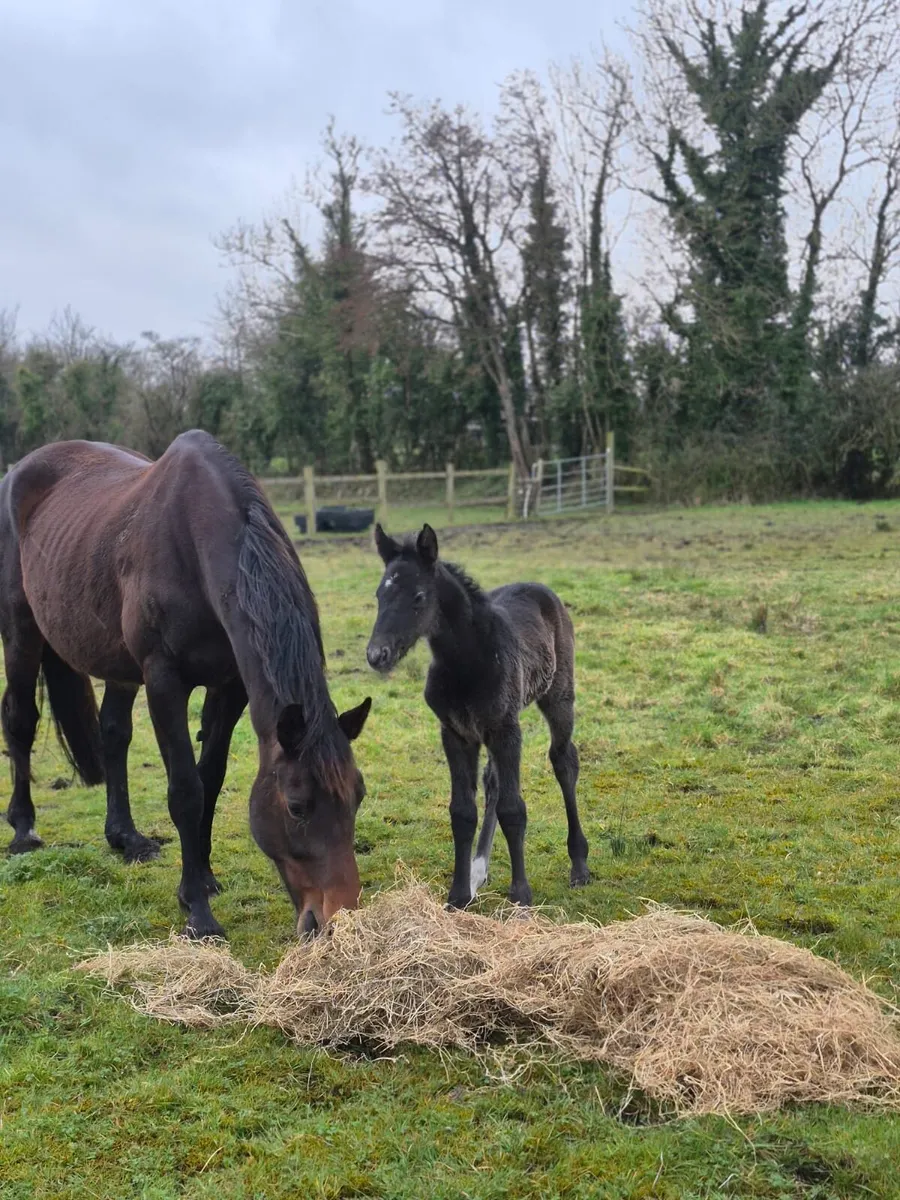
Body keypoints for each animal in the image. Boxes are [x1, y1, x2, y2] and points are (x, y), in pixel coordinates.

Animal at [0, 431, 371, 938]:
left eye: (359, 795)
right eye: (297, 806)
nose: (336, 920)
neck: (196, 545)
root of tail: (20, 470)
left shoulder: (230, 686)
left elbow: (209, 778)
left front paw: (206, 877)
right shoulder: (164, 680)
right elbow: (185, 790)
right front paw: (197, 909)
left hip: (117, 663)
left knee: (113, 733)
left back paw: (126, 838)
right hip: (22, 631)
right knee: (21, 720)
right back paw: (23, 829)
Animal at [365, 523, 589, 910]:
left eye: (419, 596)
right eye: (380, 594)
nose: (377, 655)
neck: (467, 661)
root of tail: (541, 588)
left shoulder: (506, 730)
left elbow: (514, 810)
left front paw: (521, 896)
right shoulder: (456, 734)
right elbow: (462, 812)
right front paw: (458, 895)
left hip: (558, 697)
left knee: (564, 760)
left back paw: (579, 864)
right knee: (493, 781)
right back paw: (478, 870)